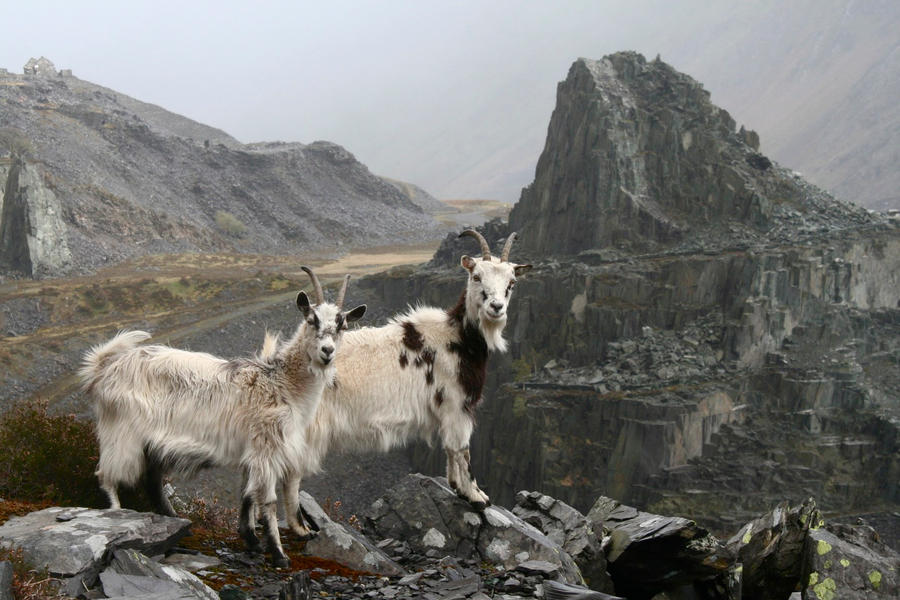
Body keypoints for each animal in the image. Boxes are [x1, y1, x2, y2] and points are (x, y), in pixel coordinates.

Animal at [79, 267, 366, 566]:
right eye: (311, 320)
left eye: (343, 326)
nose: (327, 351)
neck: (281, 383)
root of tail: (103, 369)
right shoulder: (266, 449)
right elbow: (267, 500)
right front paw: (278, 554)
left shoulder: (251, 451)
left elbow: (247, 495)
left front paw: (252, 541)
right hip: (122, 432)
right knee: (106, 475)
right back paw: (117, 514)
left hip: (149, 444)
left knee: (152, 483)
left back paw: (173, 520)